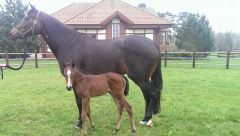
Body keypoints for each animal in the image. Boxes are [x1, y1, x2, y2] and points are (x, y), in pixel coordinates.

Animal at [9, 4, 163, 127]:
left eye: (27, 18)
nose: (12, 33)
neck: (69, 43)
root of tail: (153, 44)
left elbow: (78, 101)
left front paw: (79, 123)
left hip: (139, 77)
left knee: (153, 93)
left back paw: (146, 119)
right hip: (142, 78)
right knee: (148, 95)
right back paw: (147, 119)